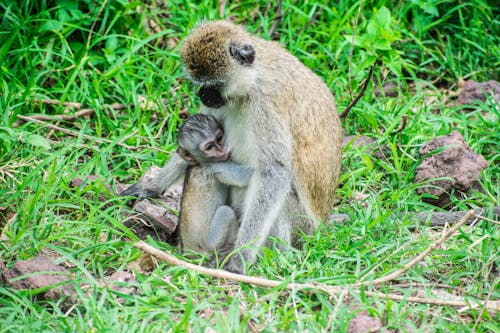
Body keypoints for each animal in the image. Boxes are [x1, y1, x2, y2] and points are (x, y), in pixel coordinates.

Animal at [177, 114, 254, 252]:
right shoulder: (215, 167)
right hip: (209, 243)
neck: (199, 163)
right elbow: (247, 176)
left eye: (219, 138)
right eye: (209, 147)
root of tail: (189, 250)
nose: (222, 149)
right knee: (226, 212)